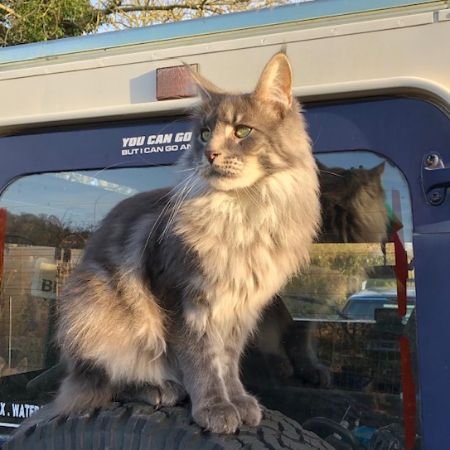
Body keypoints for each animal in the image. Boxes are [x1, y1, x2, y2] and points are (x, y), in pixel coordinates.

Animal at [45, 53, 321, 435]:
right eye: (204, 135)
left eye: (242, 131)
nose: (211, 154)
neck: (241, 211)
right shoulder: (183, 298)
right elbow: (201, 362)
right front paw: (214, 407)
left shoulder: (239, 309)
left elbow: (227, 363)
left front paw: (238, 402)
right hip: (100, 309)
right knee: (103, 384)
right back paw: (159, 388)